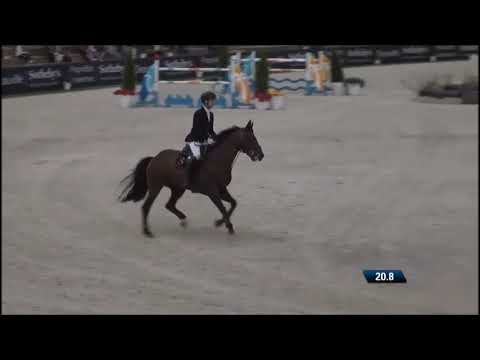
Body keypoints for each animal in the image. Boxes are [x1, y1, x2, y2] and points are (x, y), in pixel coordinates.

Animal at [118, 120, 264, 236]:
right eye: (251, 138)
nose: (261, 155)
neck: (218, 161)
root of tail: (154, 158)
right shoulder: (212, 192)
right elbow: (222, 207)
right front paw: (224, 225)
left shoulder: (222, 190)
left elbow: (233, 204)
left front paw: (222, 223)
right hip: (156, 187)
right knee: (146, 207)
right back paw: (147, 232)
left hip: (177, 189)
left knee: (169, 205)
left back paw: (183, 220)